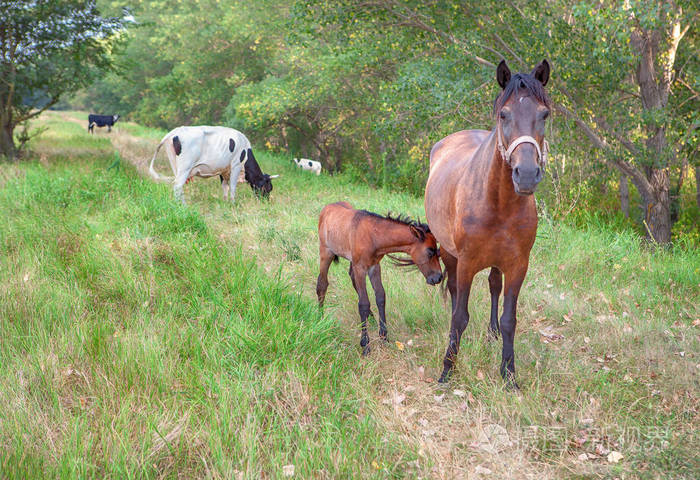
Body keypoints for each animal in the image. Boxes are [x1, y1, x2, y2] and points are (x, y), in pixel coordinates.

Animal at [148, 125, 278, 202]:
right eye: (268, 187)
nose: (265, 202)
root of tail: (176, 131)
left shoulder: (223, 170)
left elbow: (225, 188)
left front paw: (225, 203)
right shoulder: (236, 166)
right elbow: (233, 187)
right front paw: (233, 203)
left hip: (176, 166)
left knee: (178, 186)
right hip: (185, 167)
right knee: (178, 185)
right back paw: (182, 206)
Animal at [318, 201, 442, 354]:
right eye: (430, 251)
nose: (438, 277)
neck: (374, 237)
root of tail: (327, 208)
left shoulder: (374, 266)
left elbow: (380, 297)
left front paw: (384, 338)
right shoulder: (360, 268)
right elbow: (363, 303)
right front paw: (365, 345)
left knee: (352, 280)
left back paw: (370, 318)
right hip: (326, 253)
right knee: (322, 284)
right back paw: (320, 317)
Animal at [424, 61, 548, 390]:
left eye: (544, 114)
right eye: (503, 114)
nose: (526, 174)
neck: (497, 203)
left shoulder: (518, 265)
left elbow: (509, 319)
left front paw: (509, 374)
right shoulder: (466, 262)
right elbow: (460, 316)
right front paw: (447, 369)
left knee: (493, 285)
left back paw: (491, 333)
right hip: (450, 253)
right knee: (455, 291)